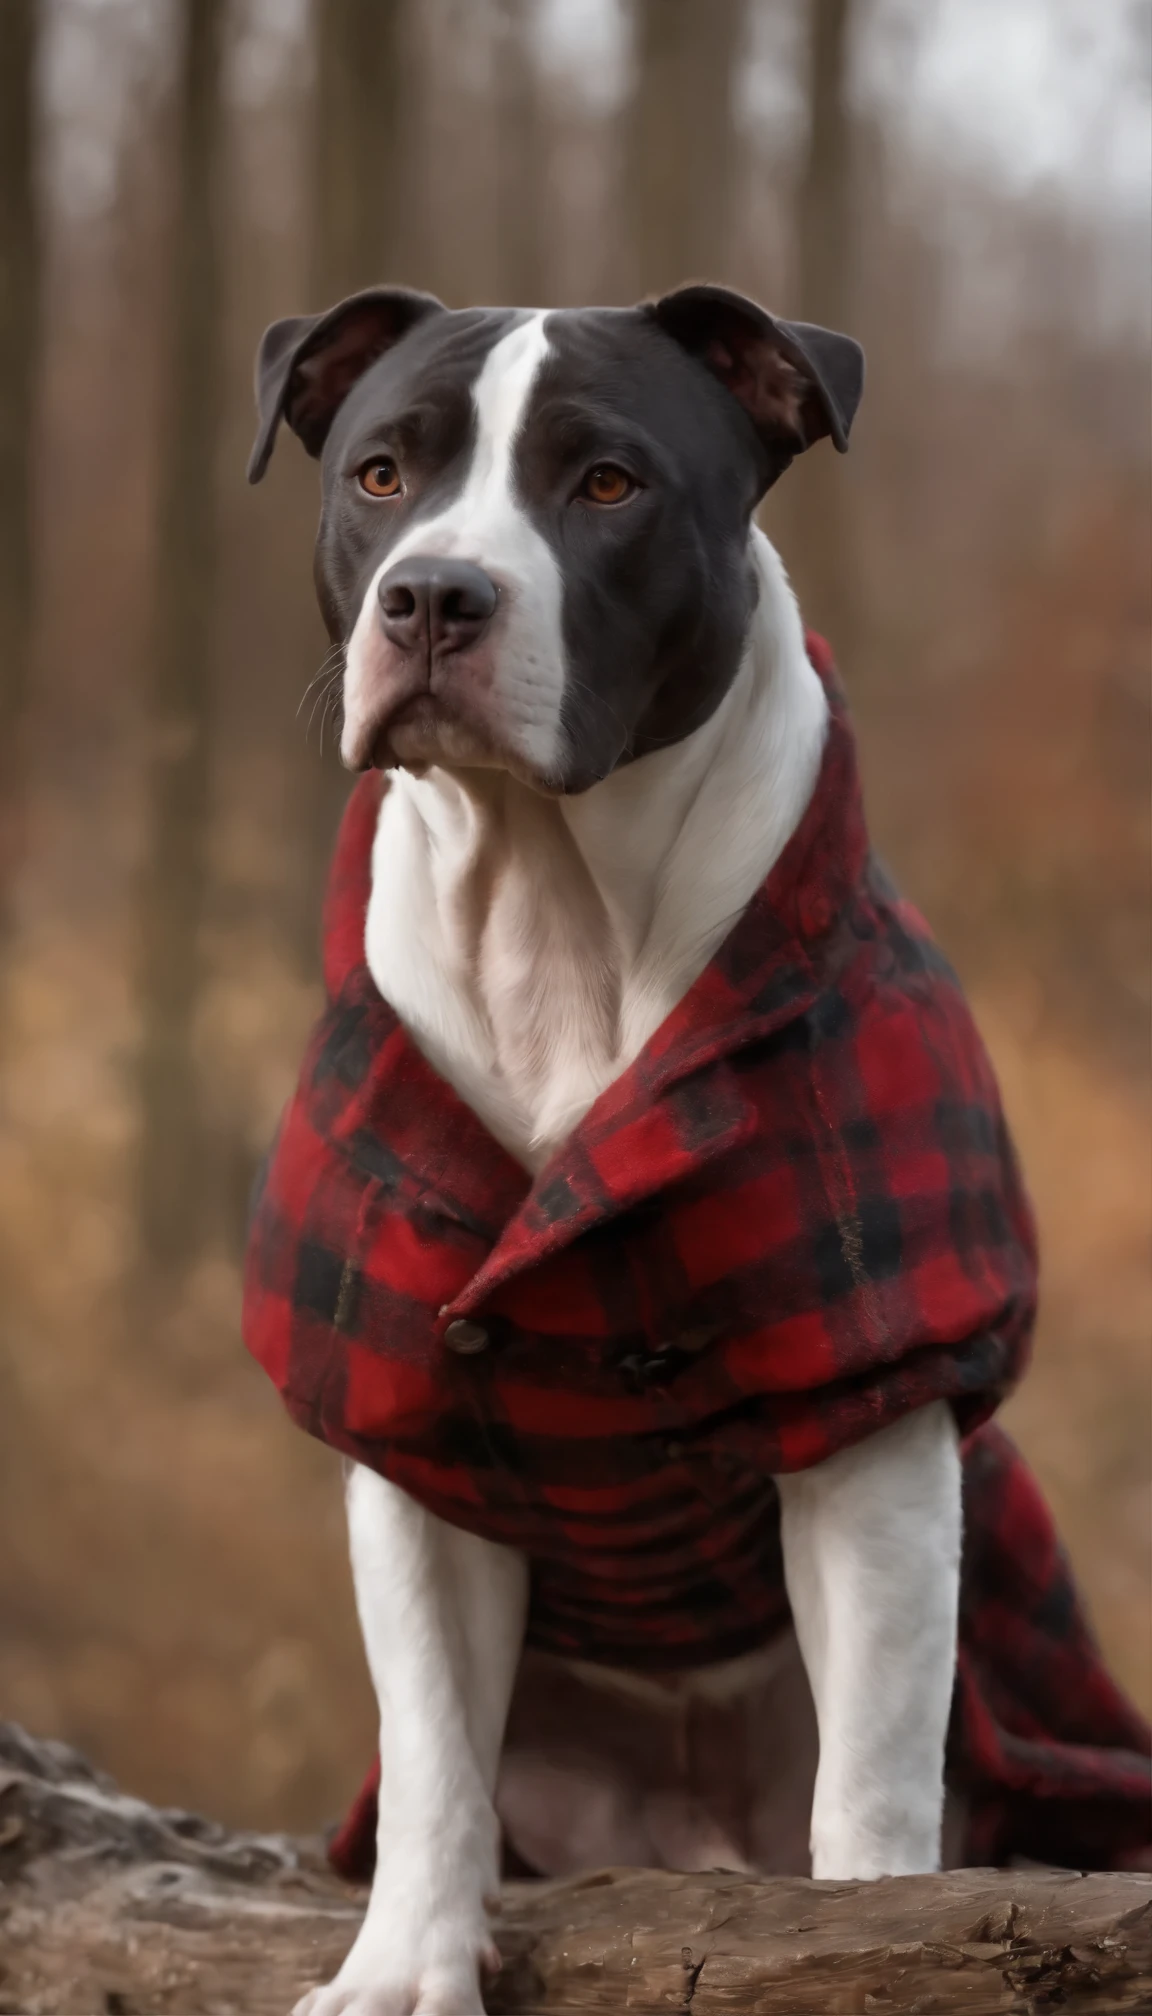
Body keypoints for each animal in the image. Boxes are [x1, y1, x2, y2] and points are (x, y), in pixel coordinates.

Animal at [241, 288, 1145, 2016]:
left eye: (608, 485)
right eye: (383, 473)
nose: (435, 596)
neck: (555, 914)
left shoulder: (868, 1420)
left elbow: (873, 1776)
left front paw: (884, 1944)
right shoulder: (411, 1425)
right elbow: (433, 1750)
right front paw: (403, 1964)